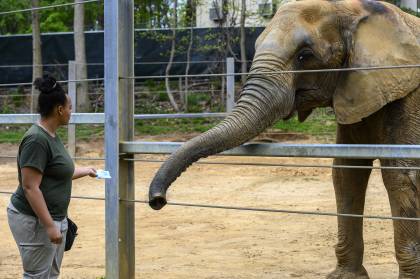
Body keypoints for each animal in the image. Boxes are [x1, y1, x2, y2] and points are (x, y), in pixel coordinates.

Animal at [148, 1, 420, 278]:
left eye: (304, 55)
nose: (158, 200)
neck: (359, 10)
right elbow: (347, 172)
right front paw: (344, 277)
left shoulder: (408, 96)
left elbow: (400, 176)